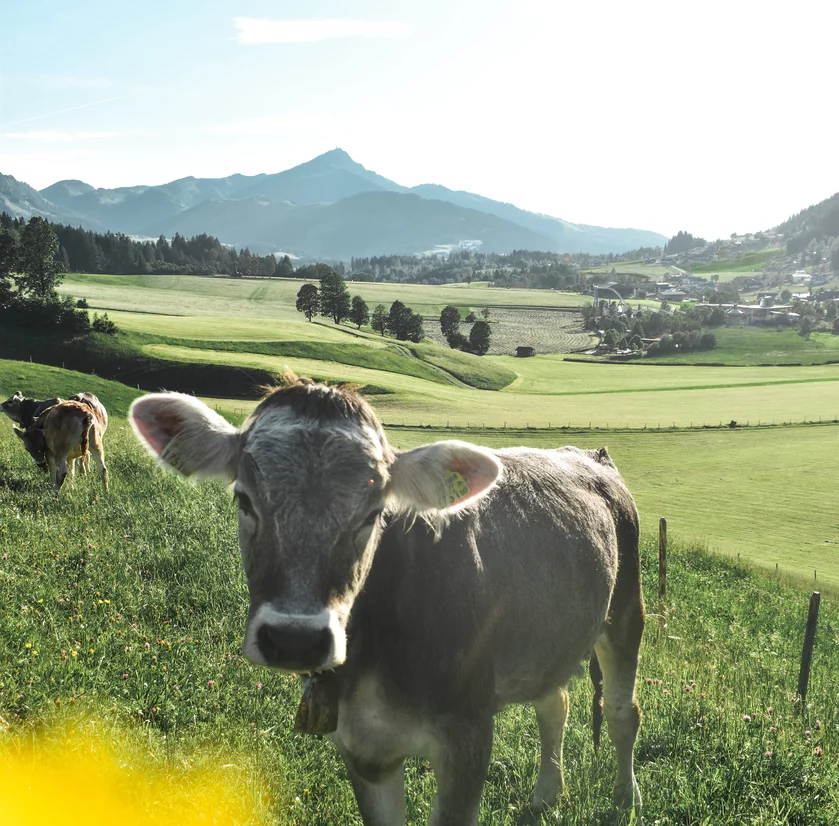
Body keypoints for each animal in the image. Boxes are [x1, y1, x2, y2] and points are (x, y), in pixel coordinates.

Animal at [129, 381, 644, 825]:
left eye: (374, 514)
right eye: (243, 499)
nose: (295, 639)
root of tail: (588, 455)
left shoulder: (468, 736)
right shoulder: (363, 749)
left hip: (625, 610)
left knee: (622, 712)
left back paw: (626, 798)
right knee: (554, 701)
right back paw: (546, 796)